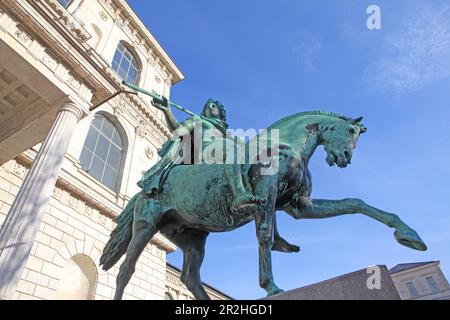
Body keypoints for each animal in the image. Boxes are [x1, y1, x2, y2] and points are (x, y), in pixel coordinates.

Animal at [100, 110, 428, 300]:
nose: (344, 158)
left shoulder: (299, 205)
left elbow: (355, 202)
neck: (287, 146)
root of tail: (144, 191)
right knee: (125, 270)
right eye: (348, 131)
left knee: (190, 279)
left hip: (192, 237)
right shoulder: (267, 197)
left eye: (357, 136)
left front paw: (408, 235)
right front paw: (270, 286)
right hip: (145, 227)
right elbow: (265, 236)